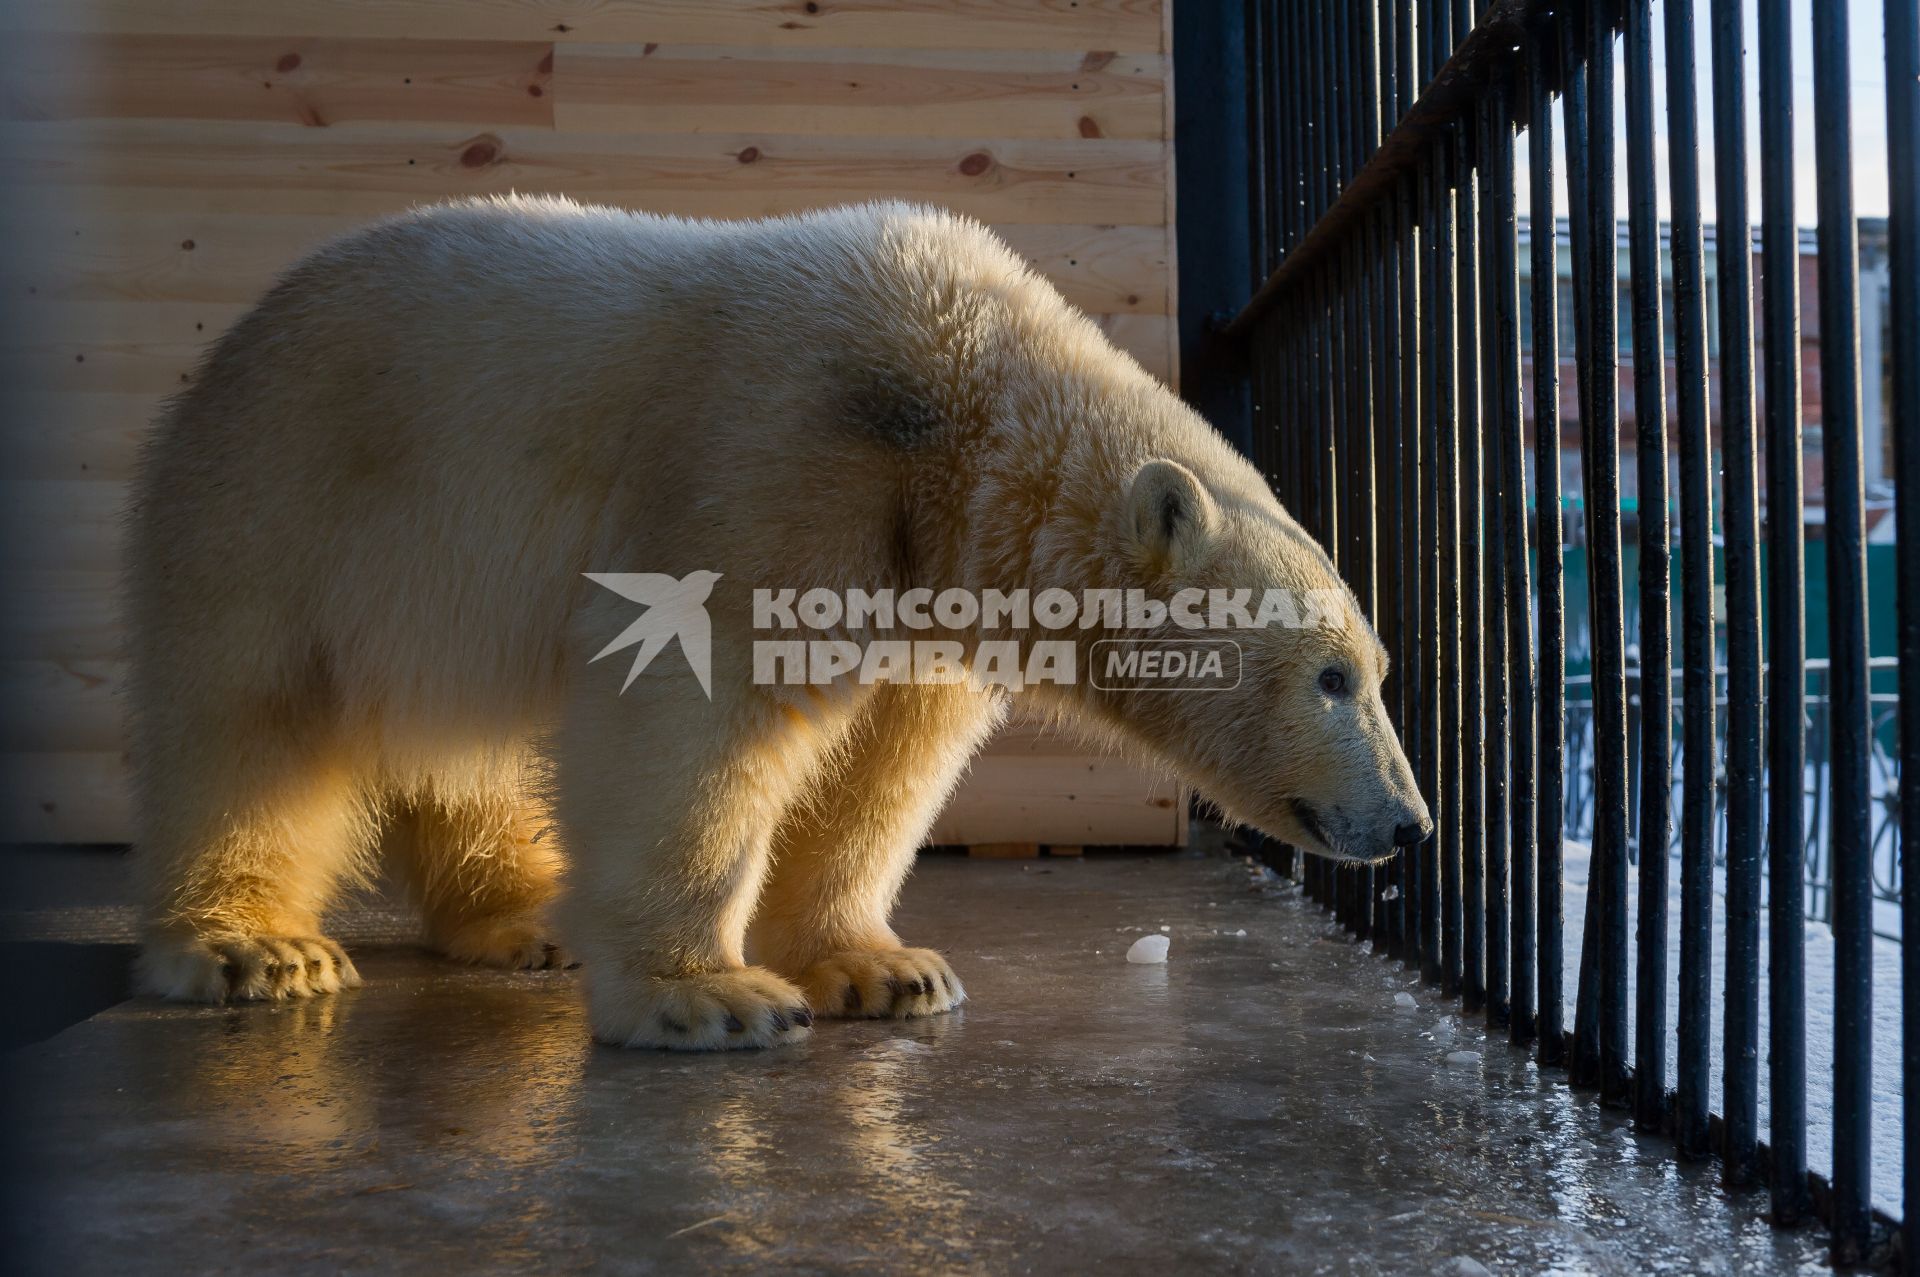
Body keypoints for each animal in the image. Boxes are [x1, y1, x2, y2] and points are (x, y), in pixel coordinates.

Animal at [123, 199, 1428, 1052]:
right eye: (1332, 676)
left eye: (1377, 665)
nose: (1411, 821)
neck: (957, 414)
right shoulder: (779, 460)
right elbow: (699, 709)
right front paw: (712, 992)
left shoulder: (923, 581)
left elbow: (884, 763)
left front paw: (885, 966)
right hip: (288, 503)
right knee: (246, 722)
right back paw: (252, 946)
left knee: (461, 749)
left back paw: (527, 913)